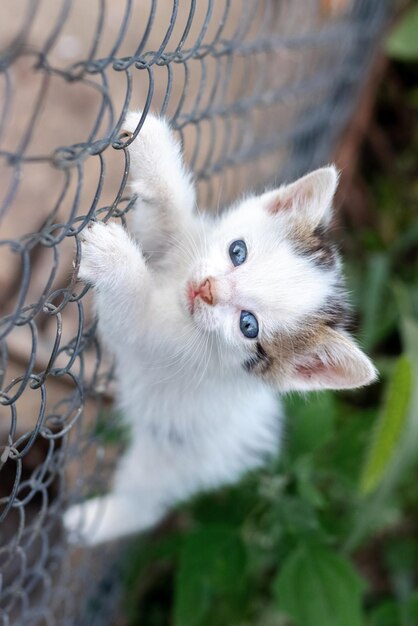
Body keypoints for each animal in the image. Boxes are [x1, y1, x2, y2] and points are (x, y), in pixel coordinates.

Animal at [63, 111, 378, 540]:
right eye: (237, 251)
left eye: (249, 325)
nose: (206, 290)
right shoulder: (181, 254)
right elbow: (166, 223)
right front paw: (151, 145)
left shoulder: (155, 344)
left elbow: (133, 315)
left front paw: (113, 258)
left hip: (172, 462)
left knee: (144, 504)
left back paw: (94, 521)